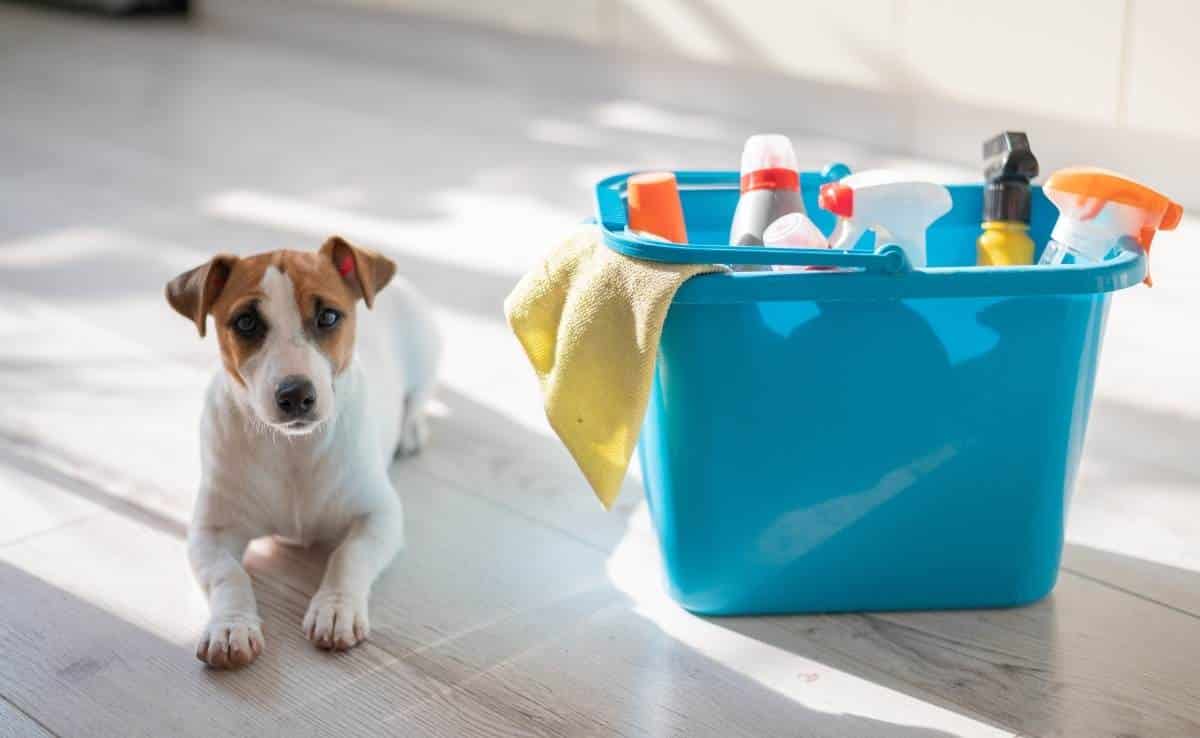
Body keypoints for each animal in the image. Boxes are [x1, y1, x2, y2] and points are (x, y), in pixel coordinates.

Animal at [162, 236, 439, 672]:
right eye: (246, 323)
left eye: (328, 316)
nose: (295, 394)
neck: (293, 449)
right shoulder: (211, 532)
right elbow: (229, 575)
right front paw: (231, 626)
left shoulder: (379, 515)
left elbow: (348, 555)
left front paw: (336, 608)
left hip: (427, 348)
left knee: (420, 394)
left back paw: (410, 429)